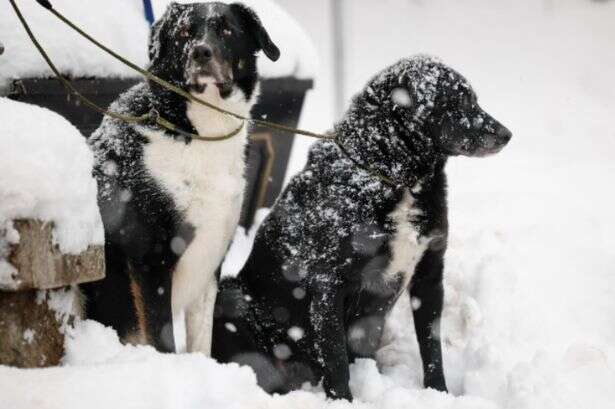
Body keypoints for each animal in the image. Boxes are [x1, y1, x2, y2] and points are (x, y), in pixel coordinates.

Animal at [83, 2, 280, 354]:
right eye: (184, 32)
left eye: (227, 29)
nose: (201, 52)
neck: (195, 132)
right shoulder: (151, 260)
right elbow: (163, 340)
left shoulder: (210, 258)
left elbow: (201, 341)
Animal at [214, 55, 512, 398]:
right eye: (458, 101)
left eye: (474, 99)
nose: (507, 134)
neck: (395, 176)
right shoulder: (328, 283)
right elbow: (336, 360)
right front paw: (343, 401)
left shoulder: (429, 275)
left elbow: (431, 347)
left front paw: (439, 393)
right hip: (231, 295)